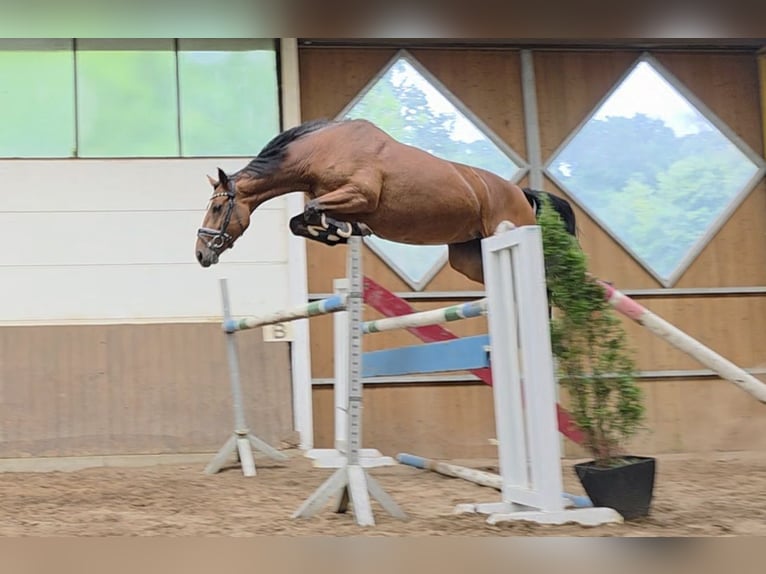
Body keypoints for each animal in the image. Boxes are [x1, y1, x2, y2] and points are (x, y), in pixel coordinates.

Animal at [195, 118, 576, 284]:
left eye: (217, 208)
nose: (200, 254)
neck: (320, 151)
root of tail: (522, 194)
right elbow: (299, 220)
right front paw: (340, 232)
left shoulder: (360, 193)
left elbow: (312, 211)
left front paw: (340, 229)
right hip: (469, 258)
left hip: (511, 234)